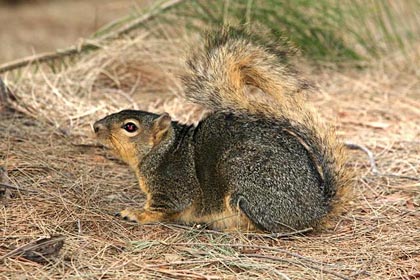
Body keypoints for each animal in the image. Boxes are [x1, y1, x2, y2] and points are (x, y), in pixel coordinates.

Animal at [92, 27, 352, 233]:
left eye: (130, 127)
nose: (95, 126)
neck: (163, 151)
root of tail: (317, 208)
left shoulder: (173, 187)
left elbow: (161, 209)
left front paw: (135, 213)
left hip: (247, 184)